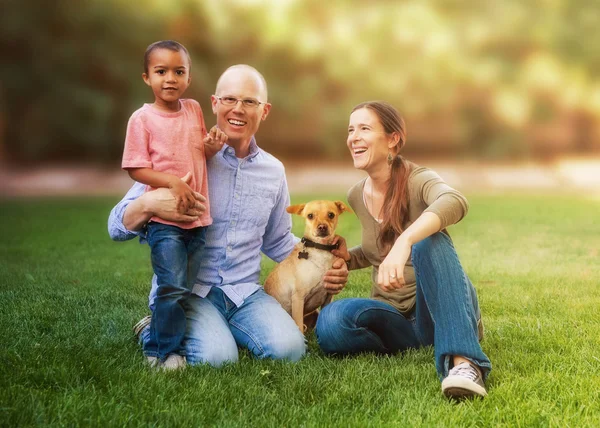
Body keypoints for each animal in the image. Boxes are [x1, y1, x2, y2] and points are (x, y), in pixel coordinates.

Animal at [262, 199, 352, 332]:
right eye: (310, 216)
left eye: (331, 215)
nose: (322, 227)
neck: (321, 250)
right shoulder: (298, 298)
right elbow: (298, 325)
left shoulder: (328, 297)